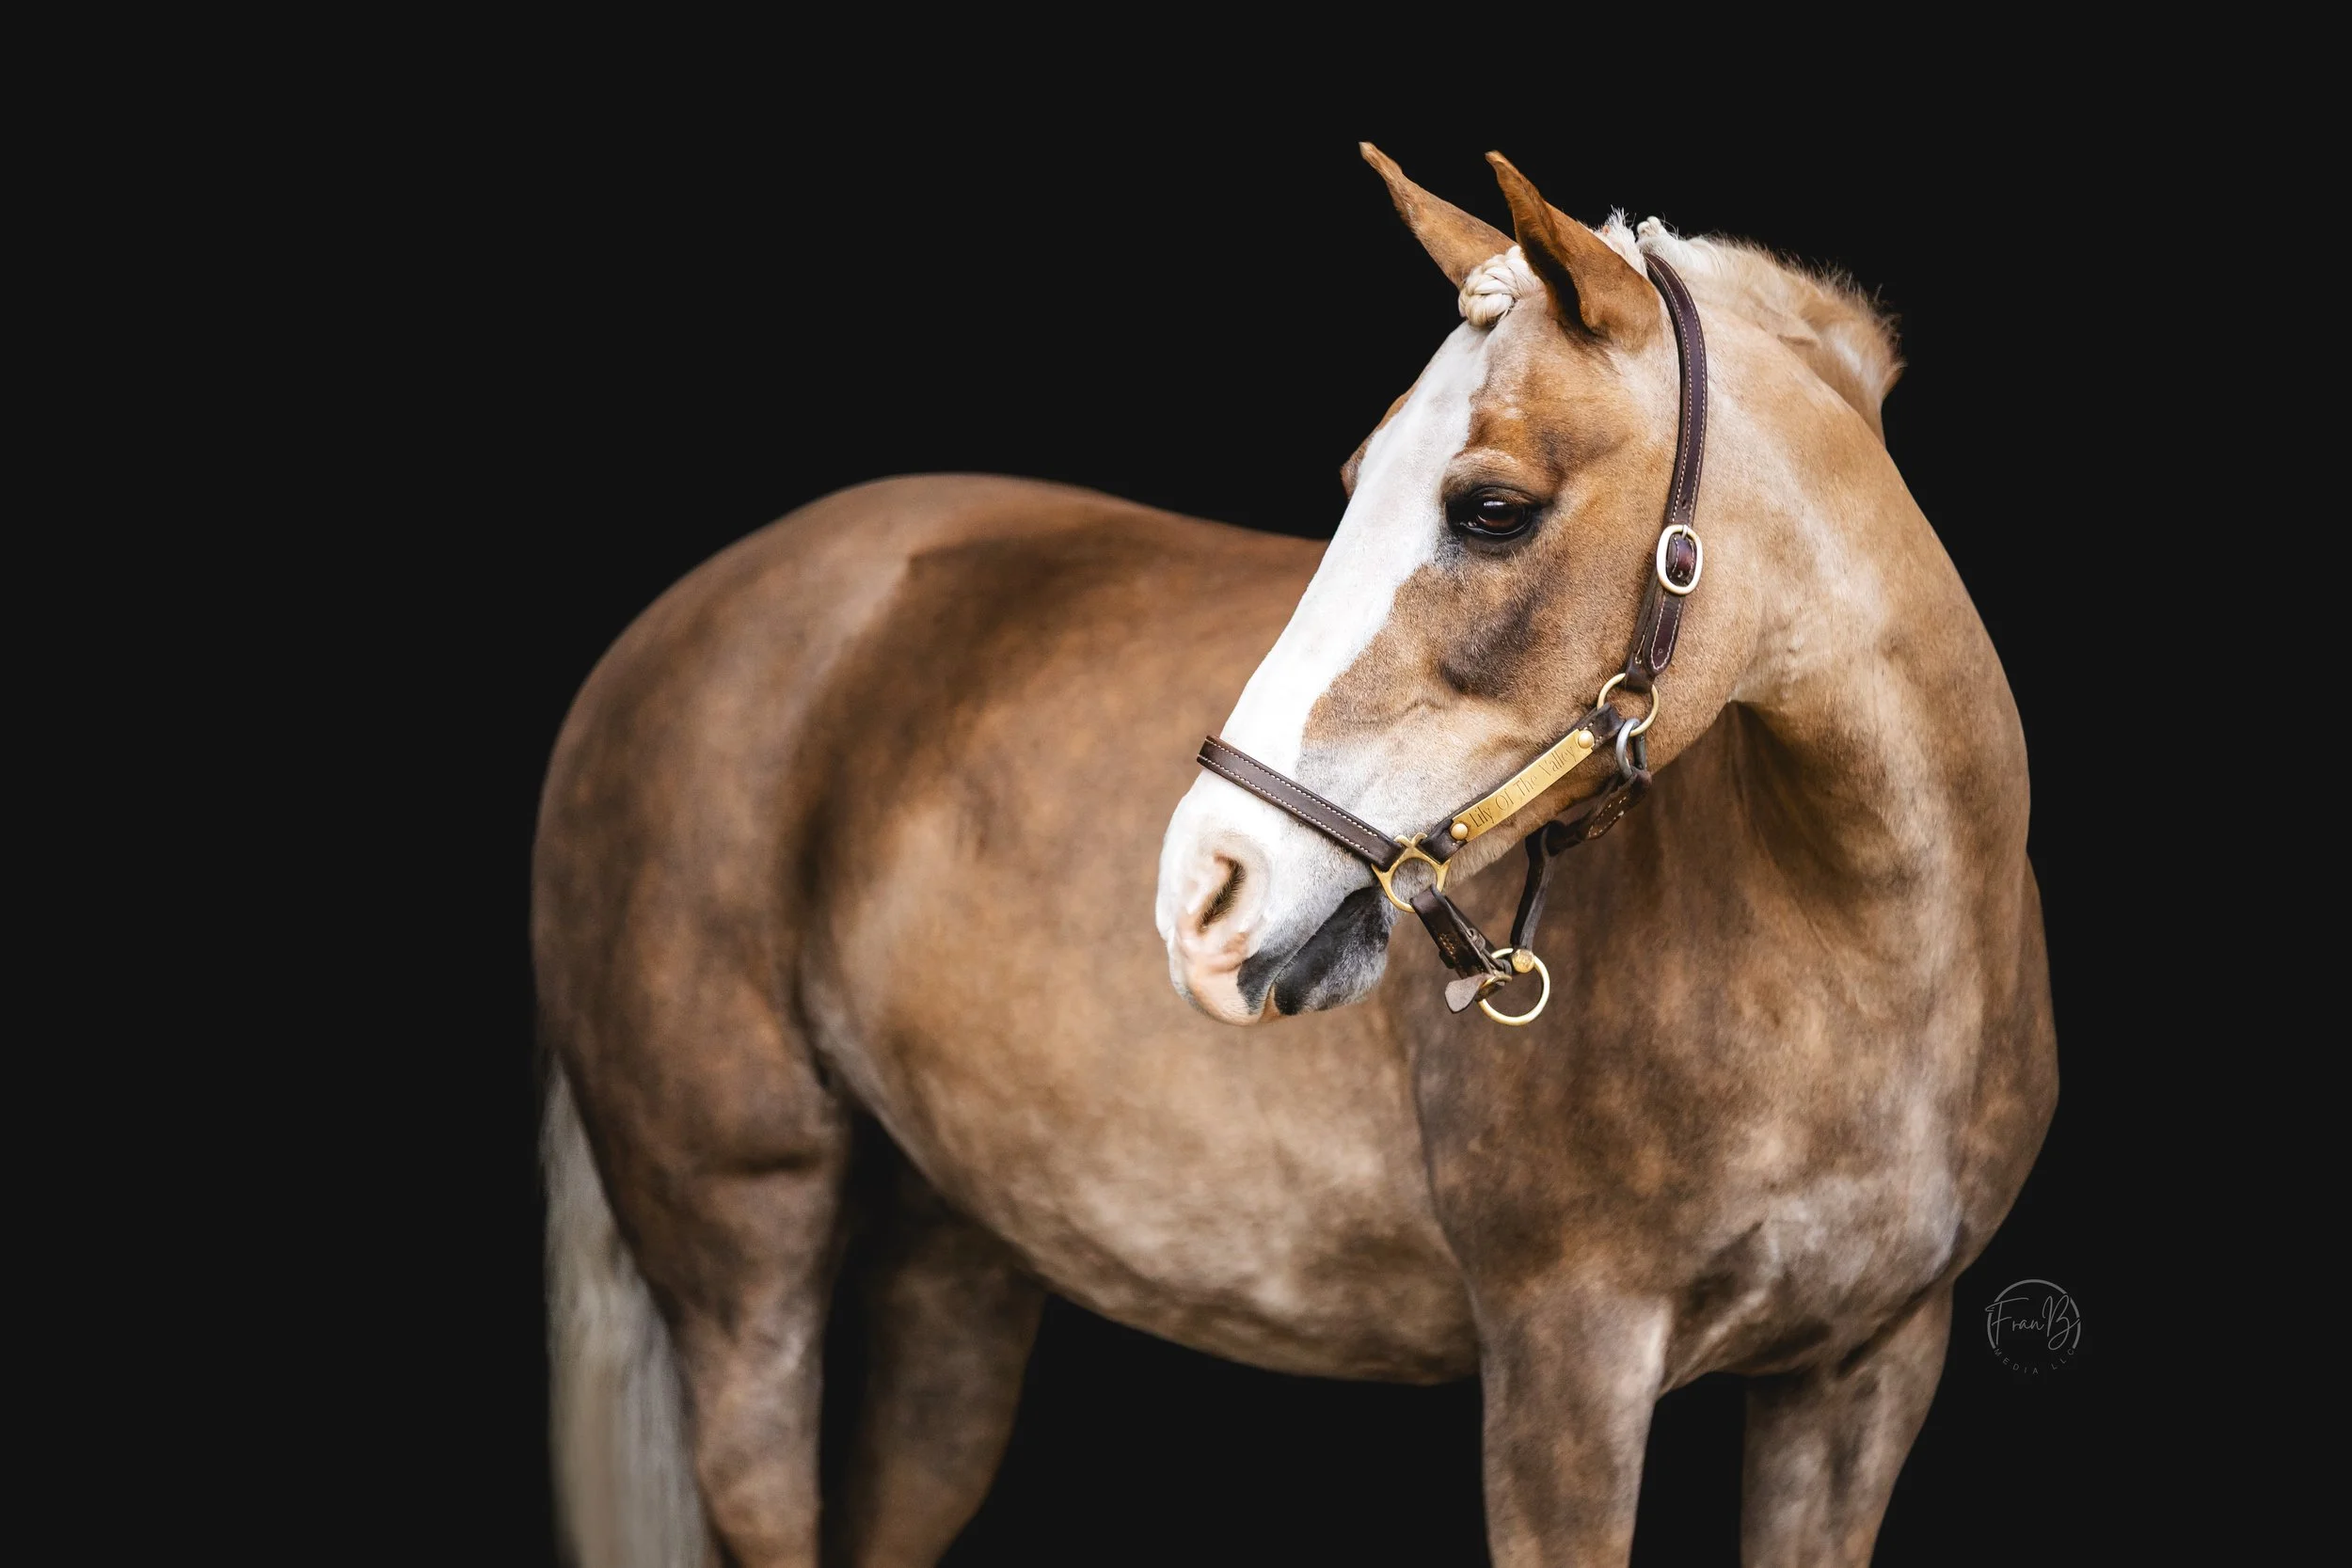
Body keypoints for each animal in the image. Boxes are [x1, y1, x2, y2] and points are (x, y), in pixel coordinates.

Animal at [535, 145, 2056, 1567]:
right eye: (1351, 483)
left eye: (1490, 508)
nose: (1205, 891)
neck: (1853, 961)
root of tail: (677, 625)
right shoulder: (1567, 1362)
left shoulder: (1862, 1374)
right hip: (744, 1262)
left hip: (950, 1271)